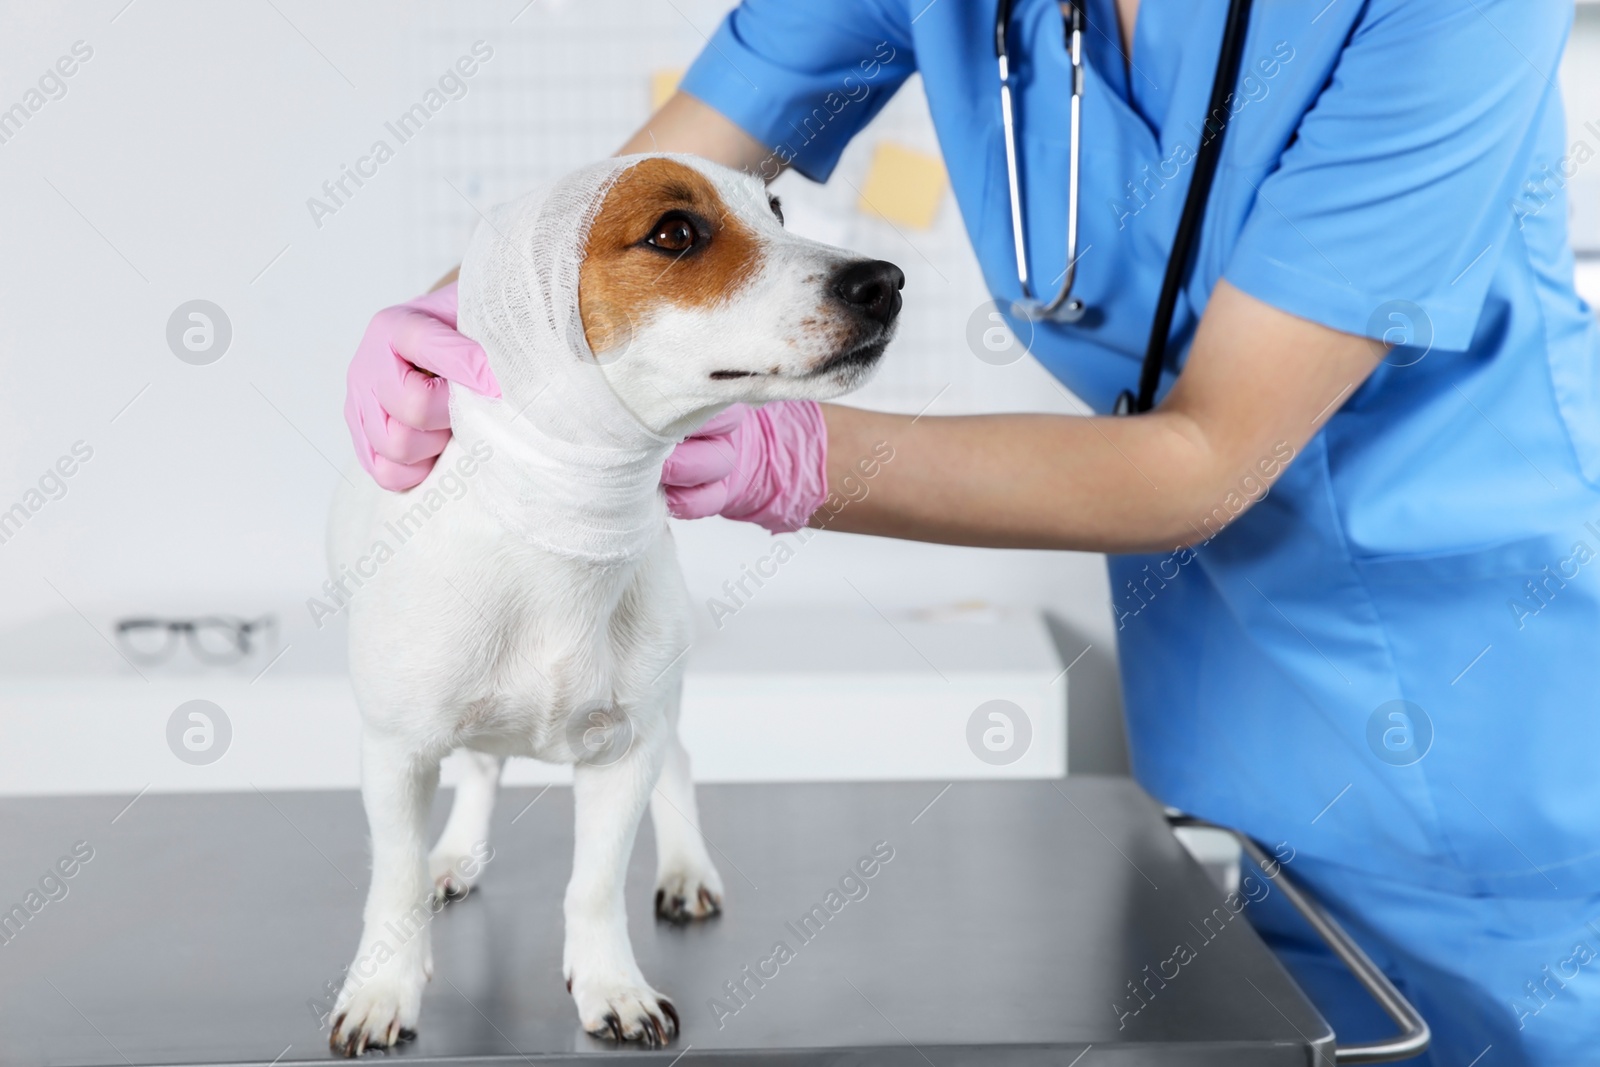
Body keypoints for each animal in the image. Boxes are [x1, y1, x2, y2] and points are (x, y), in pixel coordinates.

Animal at [326, 154, 908, 1055]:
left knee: (681, 761)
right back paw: (453, 854)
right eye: (674, 232)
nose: (884, 281)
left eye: (776, 209)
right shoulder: (395, 753)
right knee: (482, 764)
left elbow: (594, 886)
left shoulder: (626, 749)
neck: (563, 537)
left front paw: (611, 985)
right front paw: (383, 986)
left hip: (662, 702)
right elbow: (392, 882)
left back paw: (685, 867)